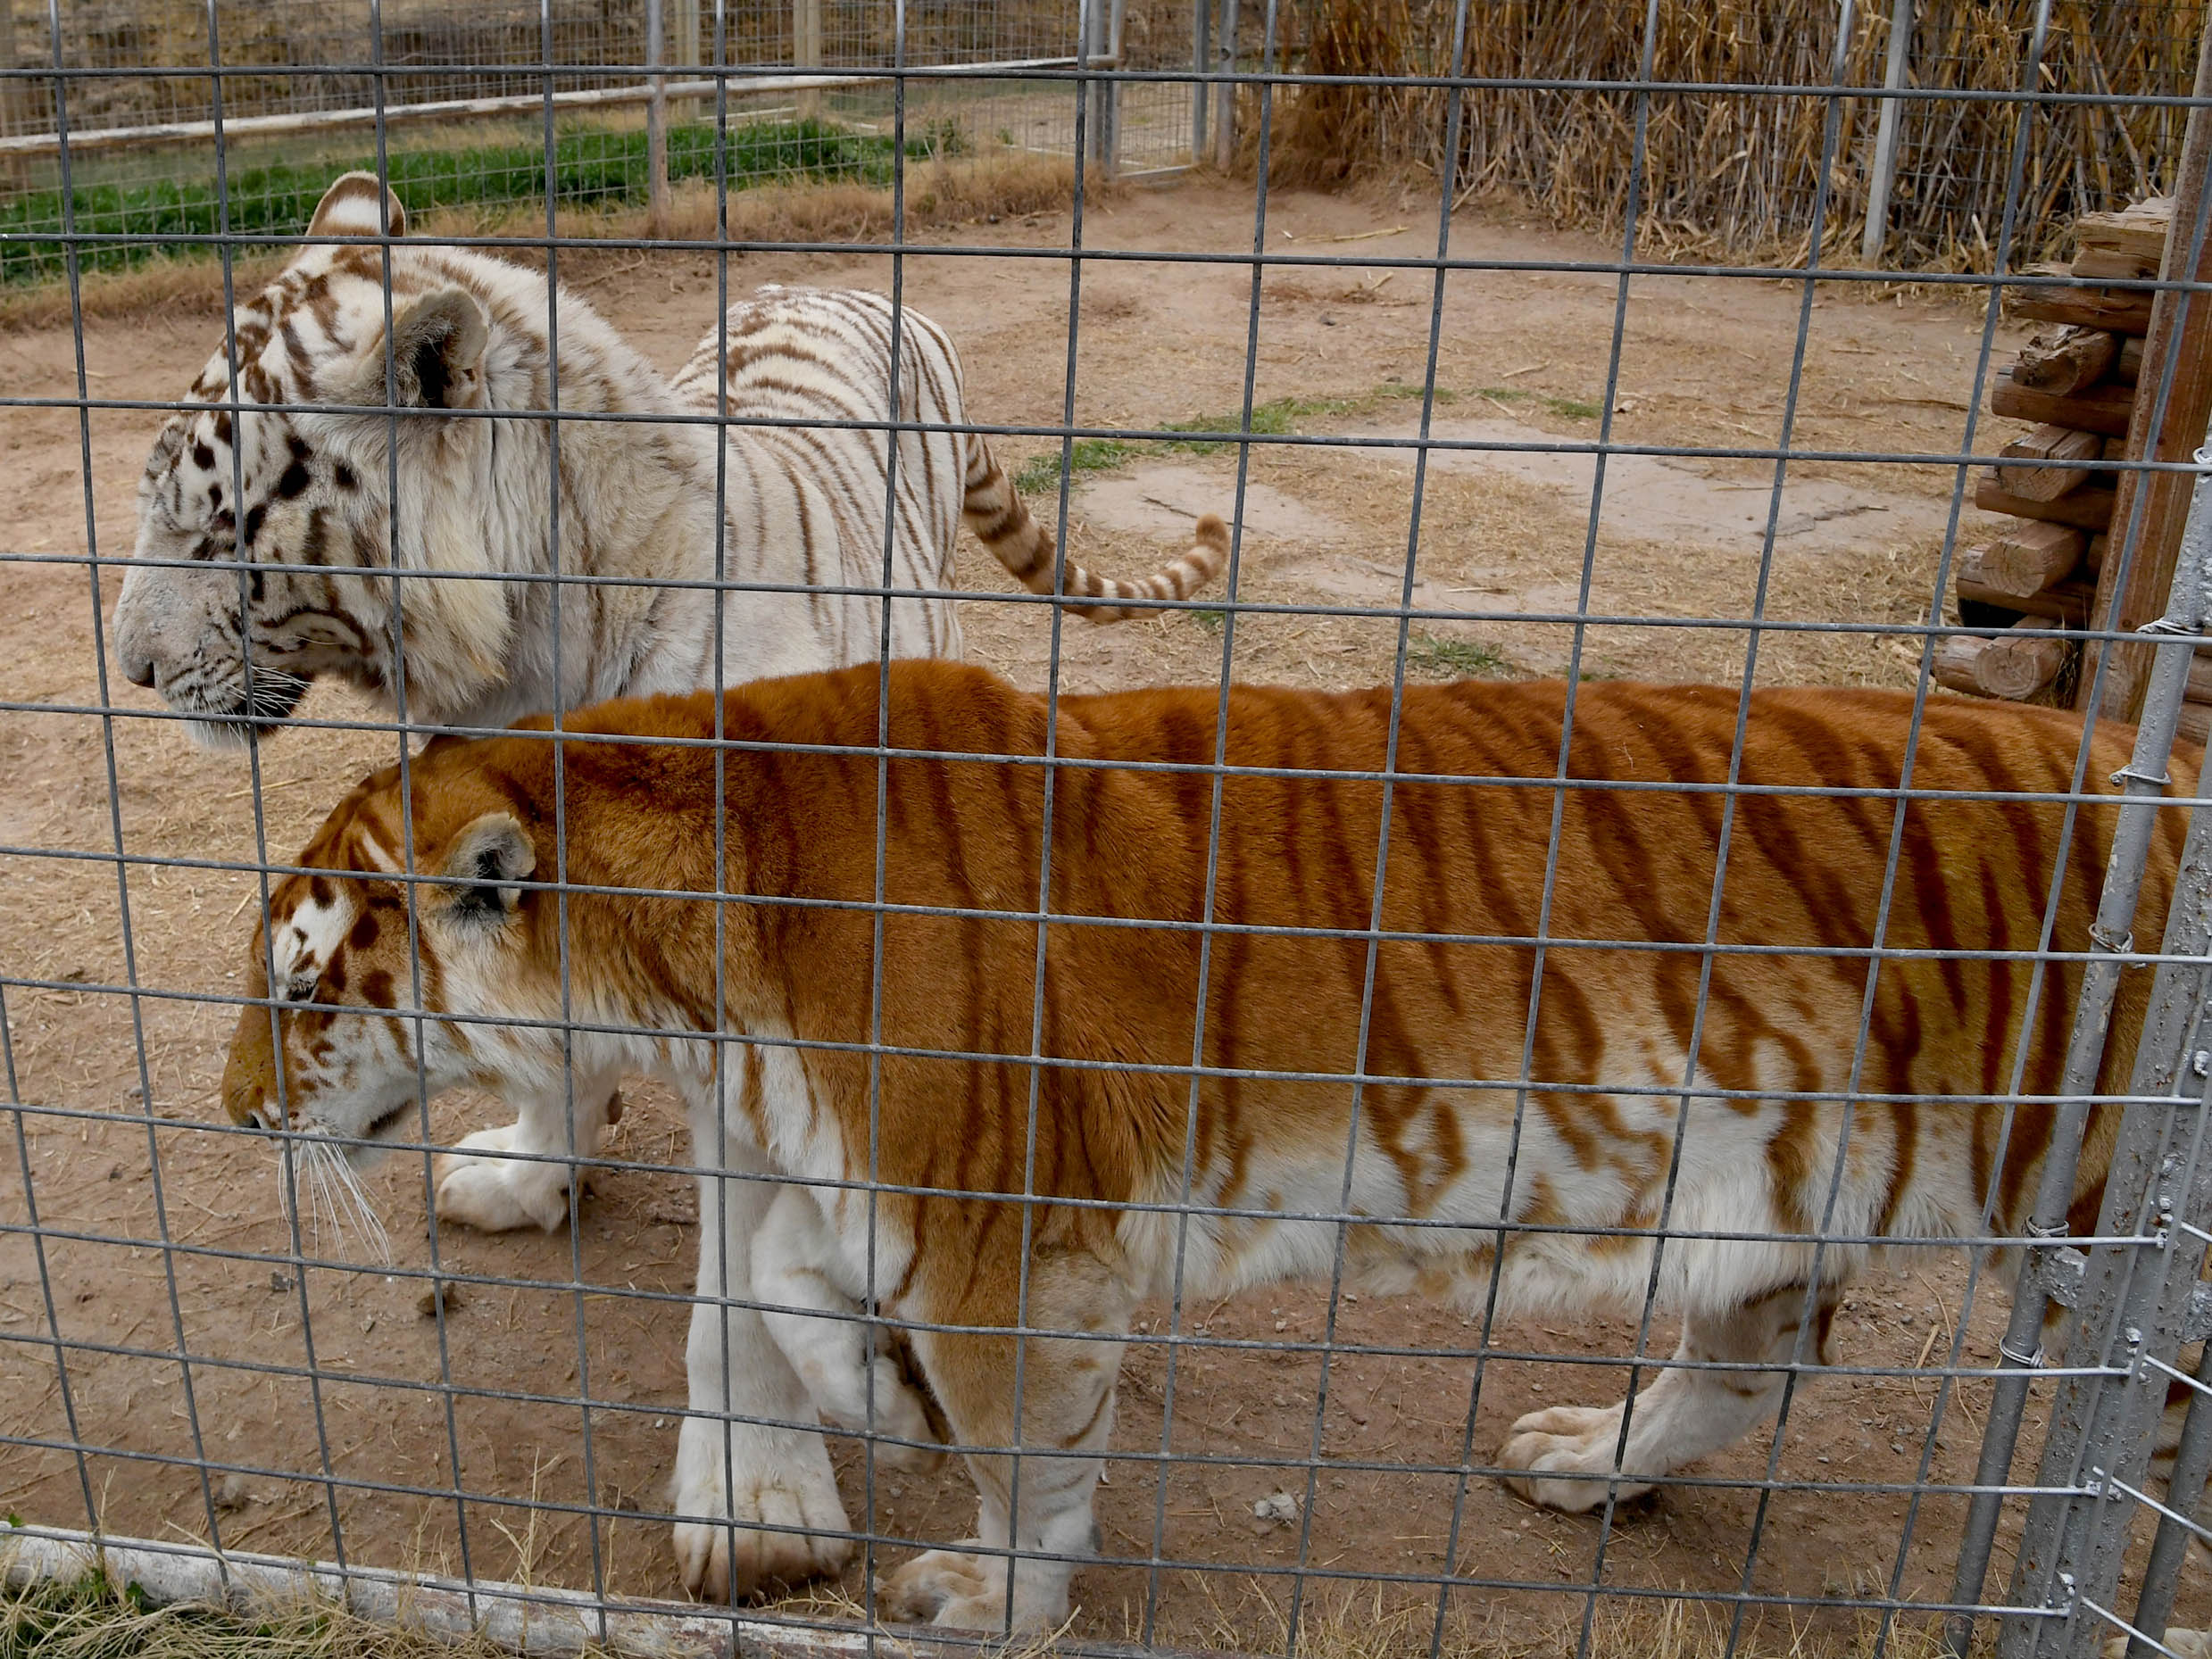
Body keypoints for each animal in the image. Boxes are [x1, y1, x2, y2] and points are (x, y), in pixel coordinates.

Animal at [112, 176, 1229, 1601]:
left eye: (213, 528)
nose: (132, 670)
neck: (526, 652)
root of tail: (852, 287)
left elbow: (740, 1296)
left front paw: (756, 1509)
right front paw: (529, 1177)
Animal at [215, 663, 2203, 1637]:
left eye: (299, 986)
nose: (230, 1109)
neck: (693, 951)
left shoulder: (997, 1227)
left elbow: (1025, 1455)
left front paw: (990, 1591)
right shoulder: (875, 1178)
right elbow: (776, 1281)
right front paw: (862, 1400)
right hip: (1775, 1198)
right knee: (1750, 1361)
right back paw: (1587, 1458)